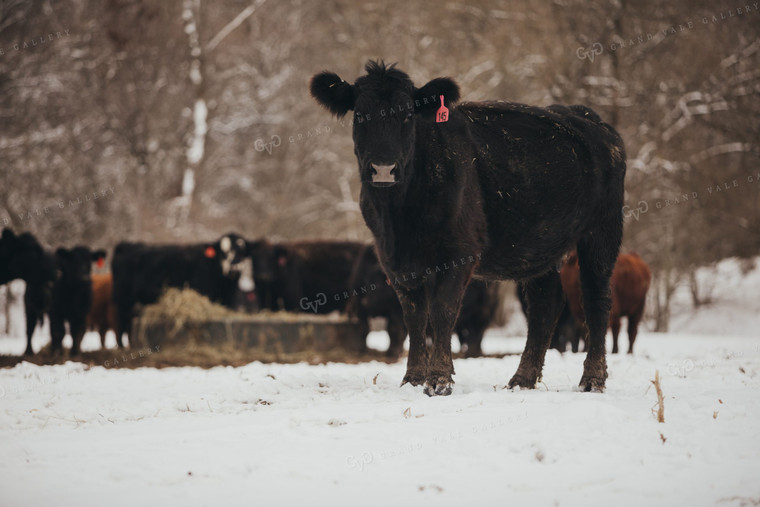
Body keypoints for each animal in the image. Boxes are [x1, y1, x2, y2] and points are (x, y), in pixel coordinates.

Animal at [348, 244, 502, 360]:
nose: (365, 301)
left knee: (476, 333)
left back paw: (471, 354)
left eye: (377, 280)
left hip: (482, 312)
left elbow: (395, 331)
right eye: (365, 278)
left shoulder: (397, 313)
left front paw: (393, 353)